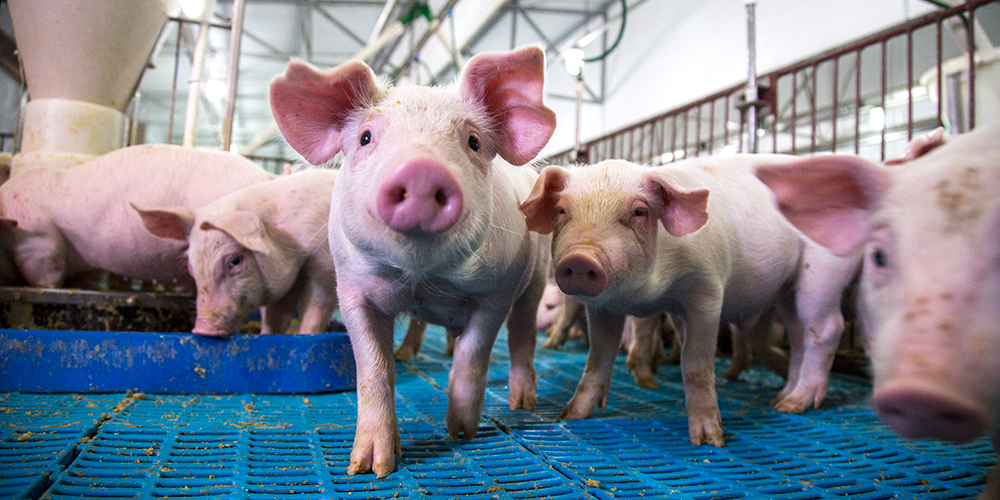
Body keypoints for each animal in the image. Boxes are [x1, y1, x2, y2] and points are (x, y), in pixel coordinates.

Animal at [132, 168, 338, 336]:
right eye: (191, 267)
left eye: (234, 261)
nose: (202, 330)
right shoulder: (288, 281)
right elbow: (276, 318)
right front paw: (266, 335)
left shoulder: (325, 268)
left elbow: (315, 311)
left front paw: (306, 336)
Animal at [268, 46, 556, 477]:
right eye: (365, 137)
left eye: (473, 141)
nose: (421, 169)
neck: (424, 279)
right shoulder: (350, 289)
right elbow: (372, 368)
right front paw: (370, 468)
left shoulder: (497, 290)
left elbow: (475, 353)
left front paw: (461, 433)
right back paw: (408, 354)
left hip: (534, 278)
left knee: (522, 333)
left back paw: (522, 403)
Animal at [520, 157, 861, 446]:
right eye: (562, 210)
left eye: (639, 212)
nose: (579, 258)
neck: (646, 295)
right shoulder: (604, 308)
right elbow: (597, 359)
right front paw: (571, 415)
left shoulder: (707, 293)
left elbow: (695, 365)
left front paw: (709, 441)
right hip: (788, 291)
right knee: (801, 335)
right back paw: (780, 400)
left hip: (824, 271)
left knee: (828, 328)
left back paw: (795, 405)